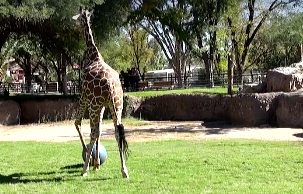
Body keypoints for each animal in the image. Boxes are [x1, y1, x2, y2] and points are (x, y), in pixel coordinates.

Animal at [74, 7, 131, 178]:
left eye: (78, 18)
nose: (74, 27)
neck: (94, 56)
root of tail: (111, 85)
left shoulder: (85, 97)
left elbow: (78, 123)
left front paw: (91, 160)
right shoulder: (104, 105)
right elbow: (99, 131)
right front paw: (97, 163)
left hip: (94, 106)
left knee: (93, 132)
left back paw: (84, 170)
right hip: (117, 105)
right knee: (117, 132)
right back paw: (124, 170)